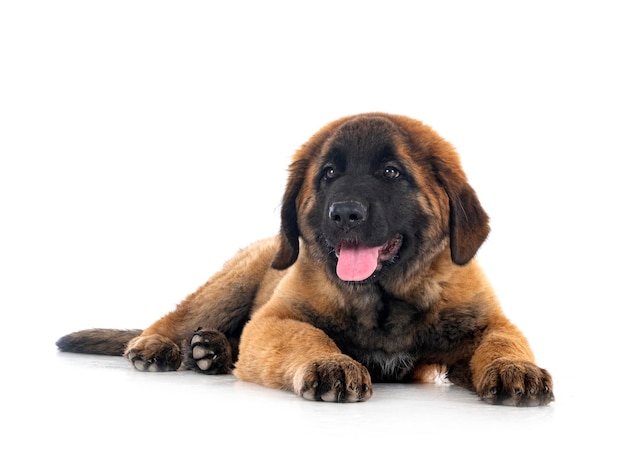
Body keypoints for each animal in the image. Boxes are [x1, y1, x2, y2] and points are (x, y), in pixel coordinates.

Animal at [56, 113, 552, 406]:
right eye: (329, 173)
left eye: (391, 172)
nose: (345, 213)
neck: (384, 302)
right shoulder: (277, 319)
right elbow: (308, 336)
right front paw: (331, 364)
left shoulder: (483, 323)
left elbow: (502, 340)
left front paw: (516, 369)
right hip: (237, 279)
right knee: (179, 317)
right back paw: (160, 345)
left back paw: (211, 351)